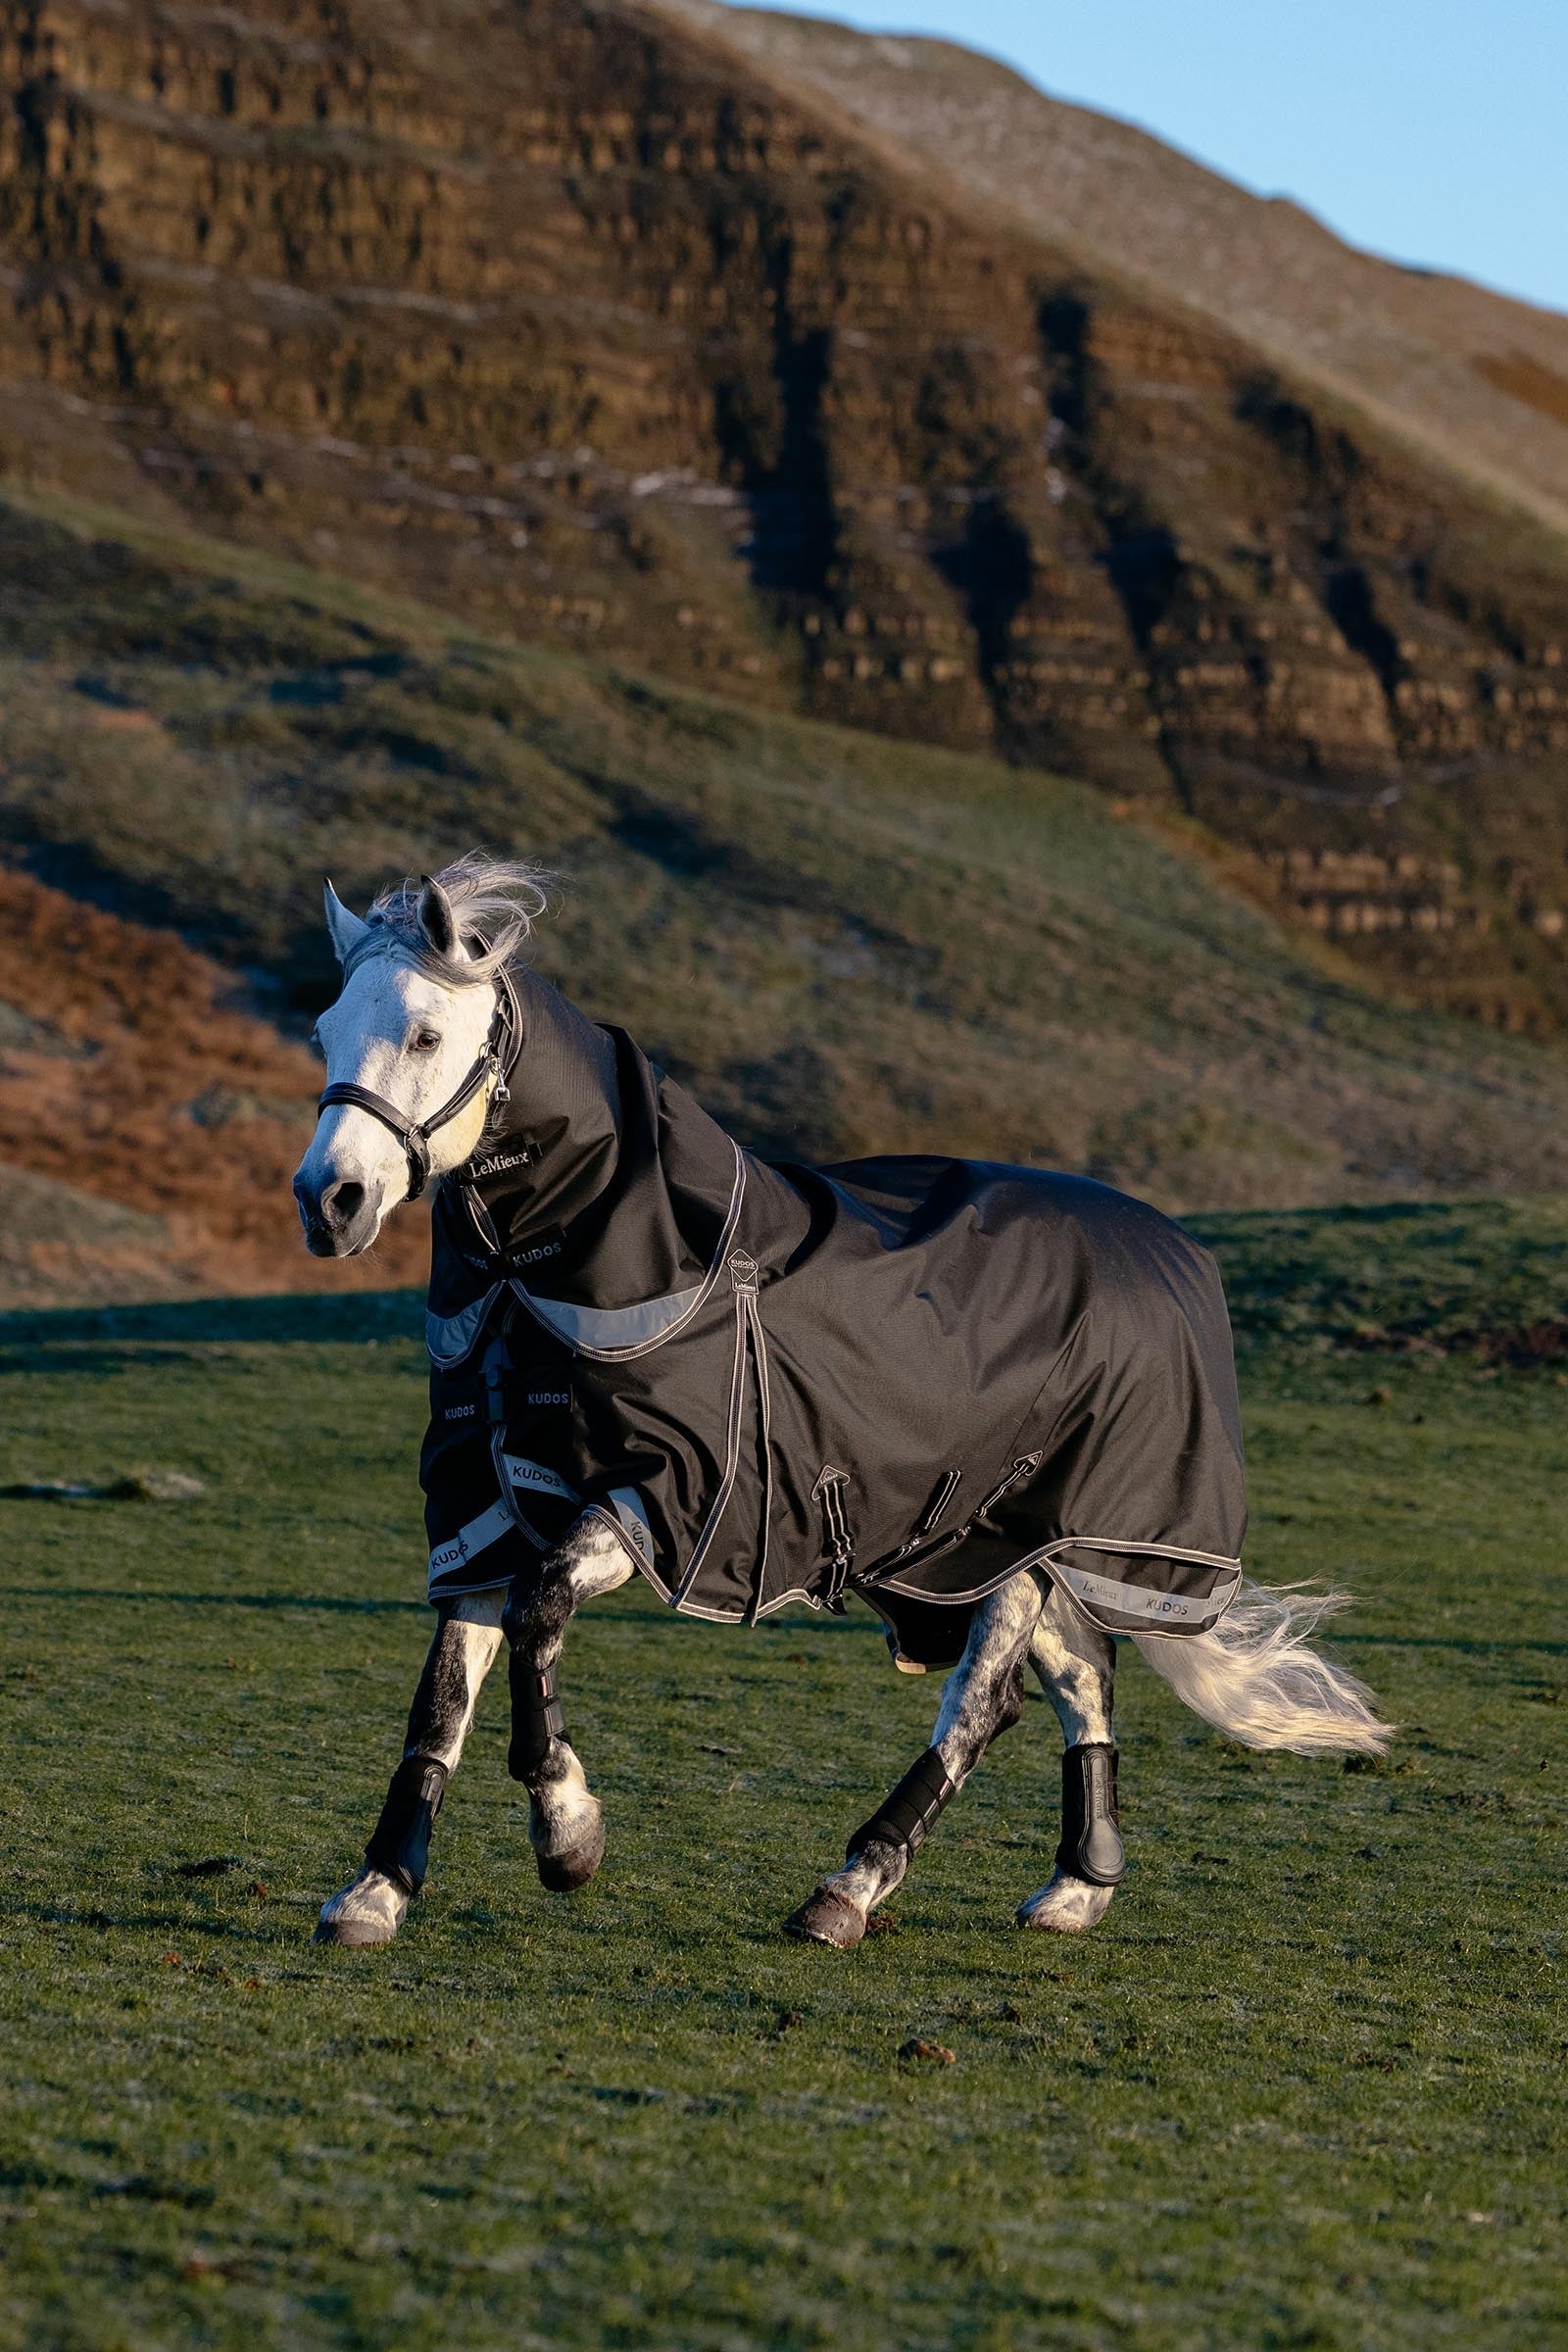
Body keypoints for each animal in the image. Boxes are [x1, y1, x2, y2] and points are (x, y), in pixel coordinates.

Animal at [293, 855, 1390, 1951]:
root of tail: (1176, 1251)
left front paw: (567, 1833)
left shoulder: (669, 1500)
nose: (328, 1201)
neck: (566, 1270)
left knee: (981, 1706)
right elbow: (443, 1694)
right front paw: (378, 1888)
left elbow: (537, 1613)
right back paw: (1078, 1885)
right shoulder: (482, 1506)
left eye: (426, 1034)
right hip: (989, 1545)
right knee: (1081, 1679)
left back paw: (852, 1888)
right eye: (326, 1031)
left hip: (1045, 1533)